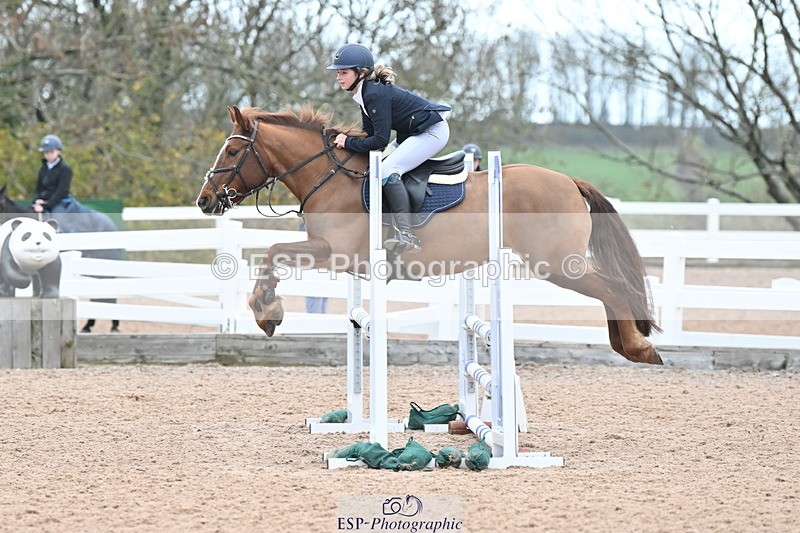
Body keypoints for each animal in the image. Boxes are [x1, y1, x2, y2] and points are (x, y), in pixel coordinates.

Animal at [196, 105, 663, 365]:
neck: (329, 176)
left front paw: (267, 312)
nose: (205, 200)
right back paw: (630, 346)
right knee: (612, 289)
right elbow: (272, 255)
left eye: (233, 151)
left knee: (614, 287)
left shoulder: (333, 252)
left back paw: (638, 348)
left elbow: (273, 252)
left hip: (559, 264)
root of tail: (569, 180)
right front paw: (267, 312)